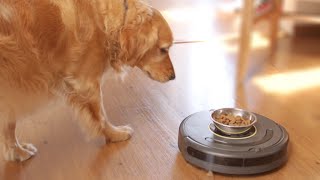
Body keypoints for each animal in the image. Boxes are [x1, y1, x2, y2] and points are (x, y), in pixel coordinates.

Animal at [0, 0, 175, 162]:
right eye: (163, 49)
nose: (173, 76)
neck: (101, 19)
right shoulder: (86, 83)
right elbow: (101, 117)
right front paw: (116, 134)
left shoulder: (8, 98)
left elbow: (9, 125)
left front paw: (15, 151)